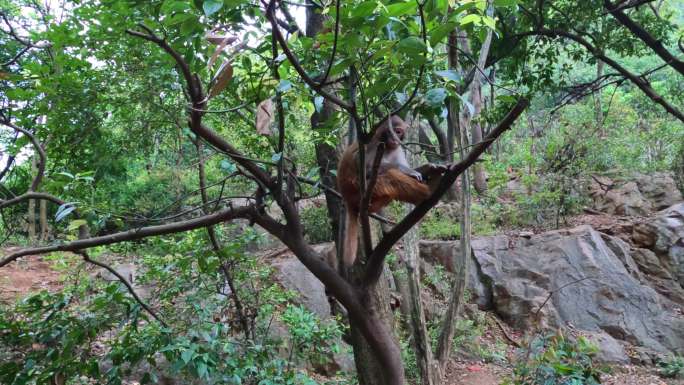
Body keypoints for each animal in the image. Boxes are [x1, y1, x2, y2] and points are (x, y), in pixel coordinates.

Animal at [338, 115, 448, 266]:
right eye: (391, 132)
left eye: (398, 132)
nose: (395, 138)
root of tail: (346, 196)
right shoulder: (374, 143)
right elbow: (364, 168)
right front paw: (406, 169)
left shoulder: (397, 148)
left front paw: (430, 168)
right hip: (356, 188)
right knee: (389, 176)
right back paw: (429, 189)